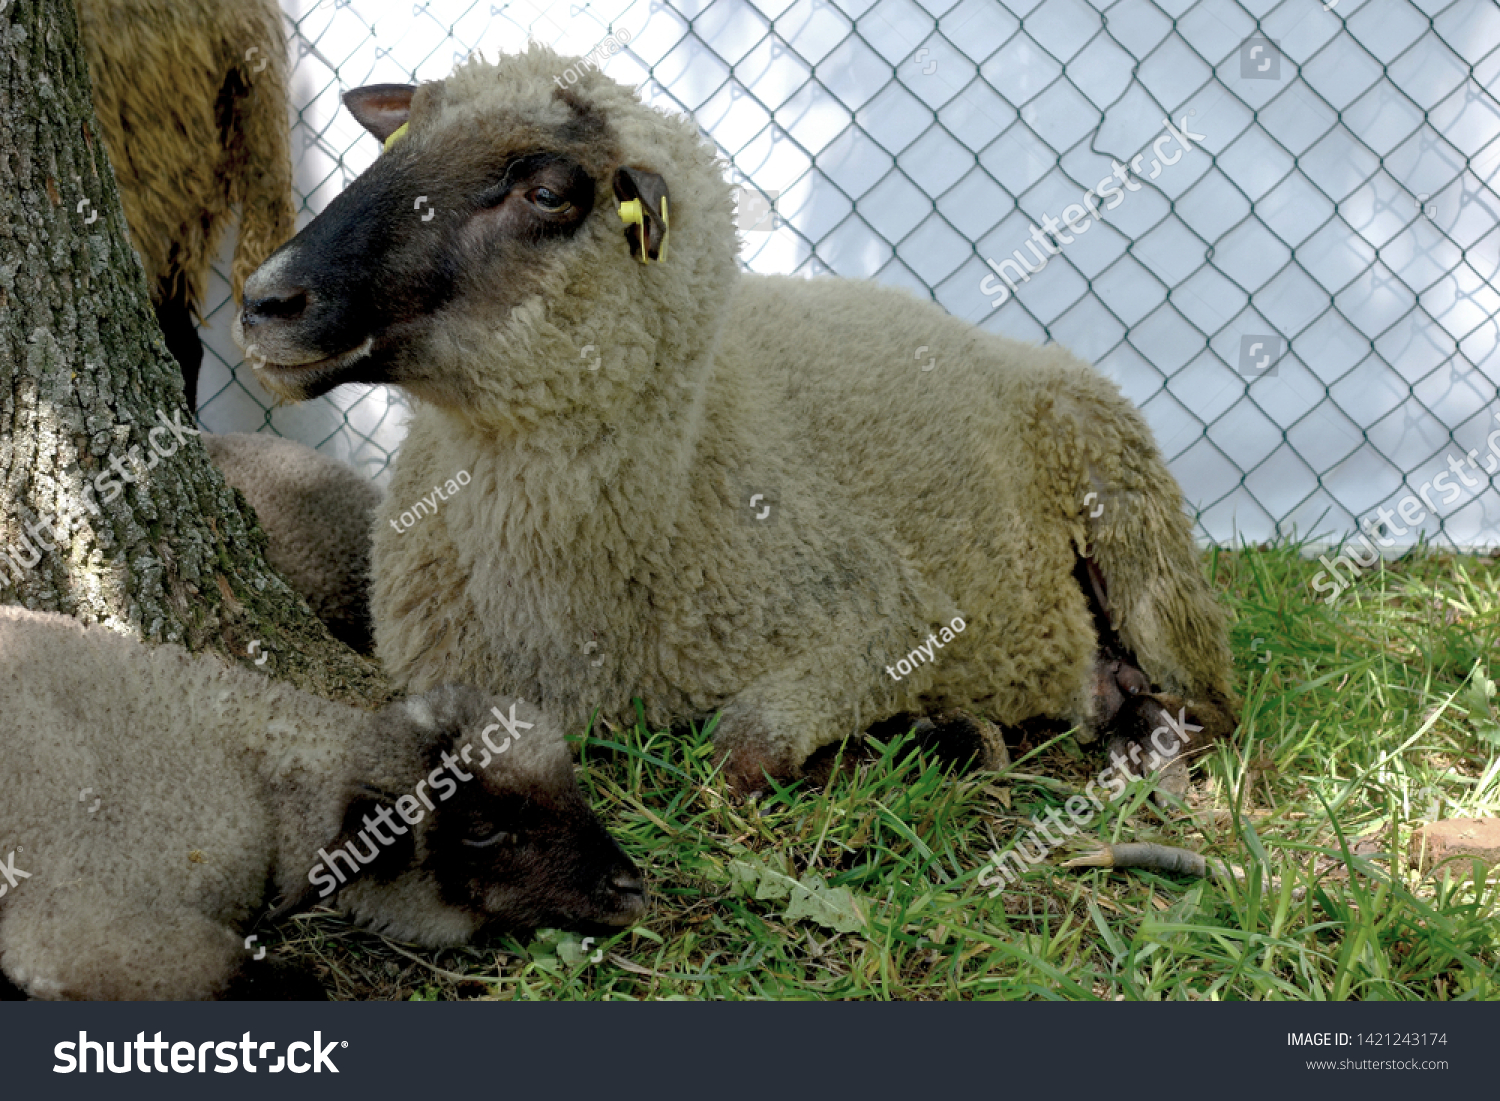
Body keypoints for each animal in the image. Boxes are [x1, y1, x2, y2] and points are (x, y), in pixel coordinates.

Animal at [234, 49, 1236, 792]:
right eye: (396, 142)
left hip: (1140, 537)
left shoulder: (890, 613)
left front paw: (914, 735)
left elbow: (740, 749)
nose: (264, 300)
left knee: (1215, 706)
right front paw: (934, 731)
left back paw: (1130, 732)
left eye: (548, 193)